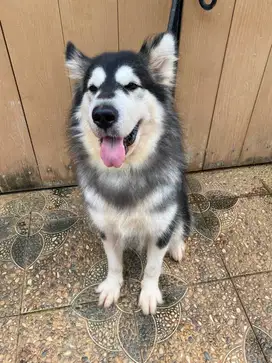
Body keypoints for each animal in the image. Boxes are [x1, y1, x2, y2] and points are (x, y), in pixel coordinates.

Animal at [65, 32, 190, 316]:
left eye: (132, 86)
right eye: (92, 88)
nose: (103, 115)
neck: (125, 173)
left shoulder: (160, 226)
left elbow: (153, 267)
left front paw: (149, 294)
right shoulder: (106, 227)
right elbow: (113, 262)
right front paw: (112, 287)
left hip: (180, 202)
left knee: (180, 224)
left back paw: (177, 245)